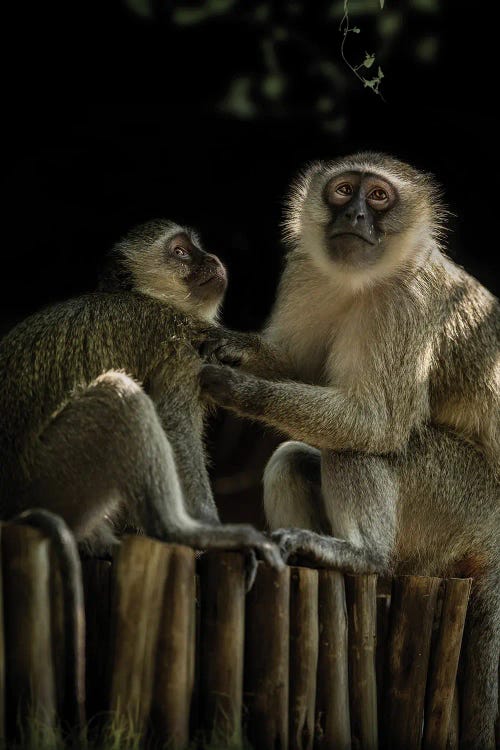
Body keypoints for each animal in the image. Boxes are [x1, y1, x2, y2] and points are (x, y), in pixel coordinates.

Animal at [201, 156, 500, 748]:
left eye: (379, 196)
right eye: (342, 190)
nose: (356, 214)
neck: (364, 280)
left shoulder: (410, 303)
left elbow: (378, 425)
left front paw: (239, 389)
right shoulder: (306, 272)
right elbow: (294, 362)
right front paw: (231, 348)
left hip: (461, 505)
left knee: (359, 450)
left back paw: (363, 557)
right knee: (294, 459)